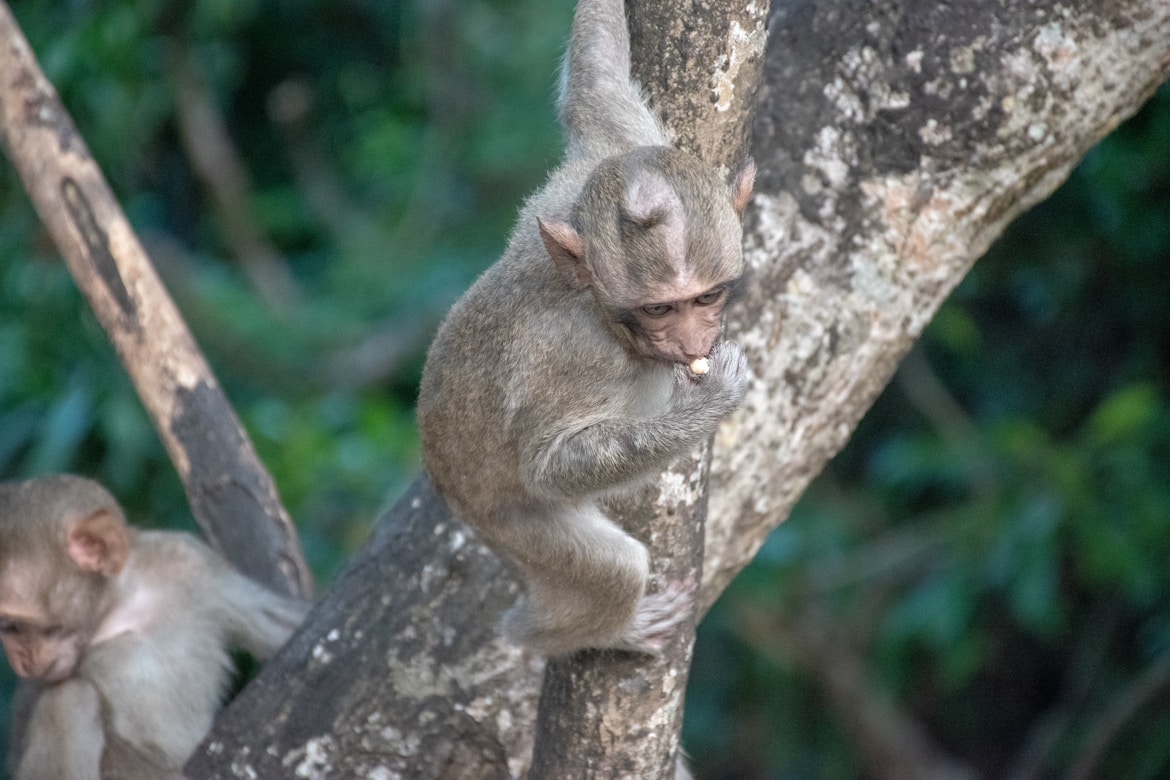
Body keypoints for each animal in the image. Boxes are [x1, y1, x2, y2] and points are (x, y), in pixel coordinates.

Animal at [0, 477, 311, 780]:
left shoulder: (191, 562)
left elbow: (280, 626)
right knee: (68, 700)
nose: (20, 661)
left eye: (12, 626)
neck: (121, 606)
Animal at [416, 0, 753, 659]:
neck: (600, 310)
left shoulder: (617, 151)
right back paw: (581, 631)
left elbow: (594, 88)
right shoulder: (576, 357)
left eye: (706, 297)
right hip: (510, 522)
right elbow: (549, 463)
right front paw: (706, 406)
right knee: (611, 566)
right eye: (659, 311)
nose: (692, 343)